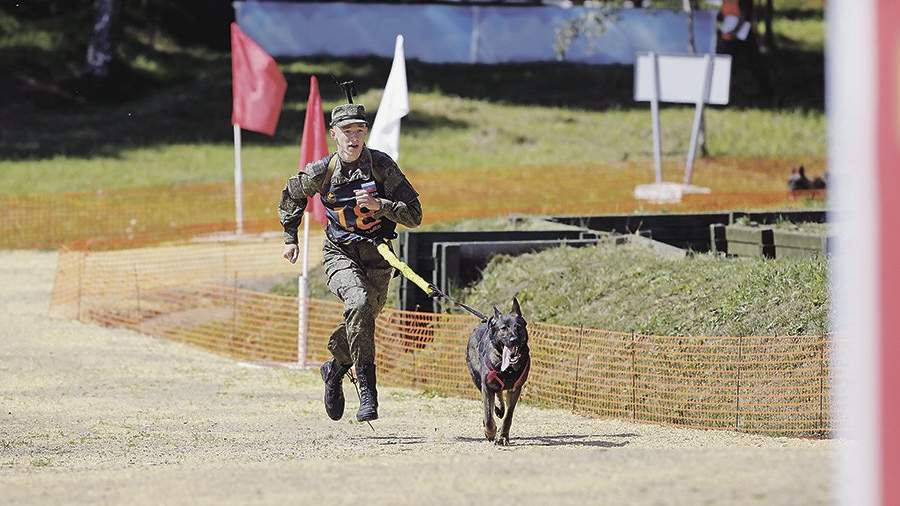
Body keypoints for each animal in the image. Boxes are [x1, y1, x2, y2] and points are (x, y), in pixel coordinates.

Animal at [468, 298, 532, 444]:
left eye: (518, 327)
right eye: (503, 328)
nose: (513, 339)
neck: (508, 369)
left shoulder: (515, 389)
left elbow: (508, 417)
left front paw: (503, 436)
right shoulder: (486, 387)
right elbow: (488, 415)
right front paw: (490, 432)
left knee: (499, 397)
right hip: (477, 380)